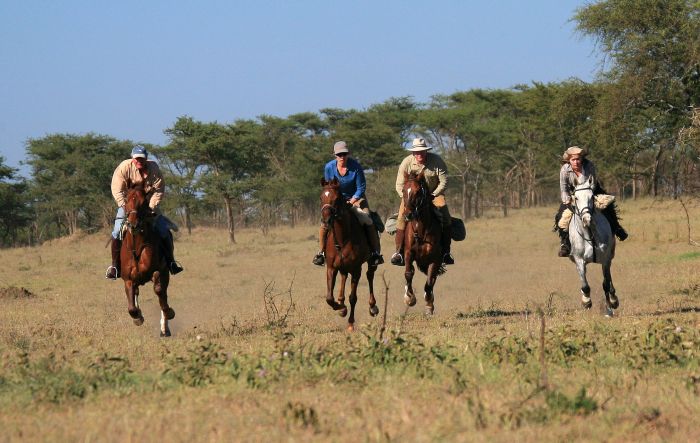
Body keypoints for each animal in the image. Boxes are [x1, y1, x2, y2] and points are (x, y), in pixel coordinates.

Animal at [120, 186, 176, 336]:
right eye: (126, 200)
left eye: (143, 202)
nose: (133, 224)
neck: (137, 247)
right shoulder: (129, 280)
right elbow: (131, 308)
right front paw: (138, 317)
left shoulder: (158, 271)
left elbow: (160, 292)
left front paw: (169, 313)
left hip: (165, 273)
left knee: (163, 294)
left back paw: (165, 328)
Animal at [322, 179, 380, 332]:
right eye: (321, 197)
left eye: (337, 199)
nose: (326, 221)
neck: (343, 238)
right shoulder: (331, 267)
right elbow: (329, 297)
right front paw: (340, 306)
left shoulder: (356, 269)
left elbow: (353, 297)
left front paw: (350, 323)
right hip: (342, 266)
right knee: (343, 276)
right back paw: (342, 304)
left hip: (371, 262)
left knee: (370, 276)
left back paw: (373, 307)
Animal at [400, 171, 442, 316]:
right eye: (403, 190)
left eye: (418, 191)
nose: (408, 215)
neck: (421, 229)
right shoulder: (408, 253)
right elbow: (408, 273)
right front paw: (409, 298)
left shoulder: (435, 259)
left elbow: (429, 281)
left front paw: (429, 305)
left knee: (432, 279)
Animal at [568, 179, 616, 318]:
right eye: (576, 198)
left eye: (591, 197)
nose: (587, 219)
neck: (589, 235)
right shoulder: (579, 260)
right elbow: (585, 286)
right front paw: (586, 302)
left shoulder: (605, 260)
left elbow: (606, 284)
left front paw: (609, 308)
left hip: (609, 257)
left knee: (608, 281)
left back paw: (614, 301)